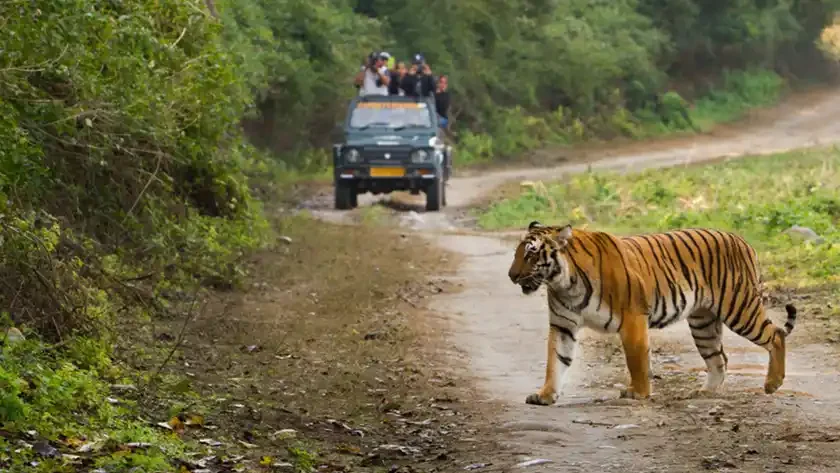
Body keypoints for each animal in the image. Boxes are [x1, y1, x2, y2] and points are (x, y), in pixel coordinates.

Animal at [508, 221, 796, 406]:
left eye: (531, 254)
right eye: (517, 253)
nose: (511, 276)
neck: (564, 283)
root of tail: (742, 240)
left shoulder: (632, 317)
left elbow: (636, 360)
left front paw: (638, 393)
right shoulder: (563, 326)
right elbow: (555, 361)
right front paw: (545, 395)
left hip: (739, 307)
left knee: (776, 335)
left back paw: (772, 383)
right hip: (703, 322)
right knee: (719, 359)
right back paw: (703, 392)